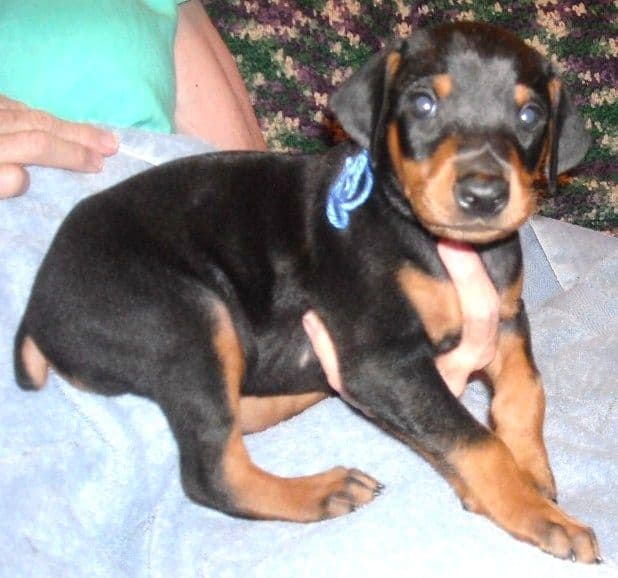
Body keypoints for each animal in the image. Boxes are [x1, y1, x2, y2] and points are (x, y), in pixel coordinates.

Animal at [14, 23, 600, 564]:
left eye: (530, 116)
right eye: (423, 103)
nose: (483, 195)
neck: (442, 246)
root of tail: (36, 312)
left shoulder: (505, 313)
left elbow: (526, 387)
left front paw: (533, 470)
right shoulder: (381, 359)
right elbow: (473, 439)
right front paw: (538, 513)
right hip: (185, 316)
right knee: (212, 471)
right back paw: (321, 490)